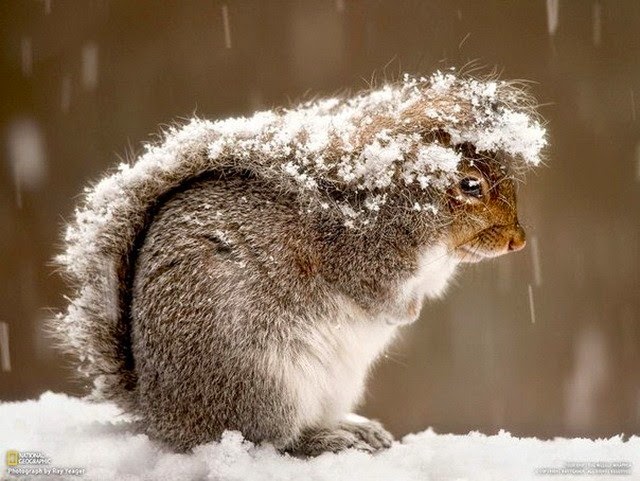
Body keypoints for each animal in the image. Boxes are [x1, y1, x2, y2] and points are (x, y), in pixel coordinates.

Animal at [52, 70, 548, 454]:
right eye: (470, 185)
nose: (519, 241)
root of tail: (162, 415)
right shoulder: (358, 257)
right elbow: (376, 294)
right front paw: (404, 313)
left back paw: (353, 427)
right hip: (263, 381)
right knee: (270, 439)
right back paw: (324, 440)